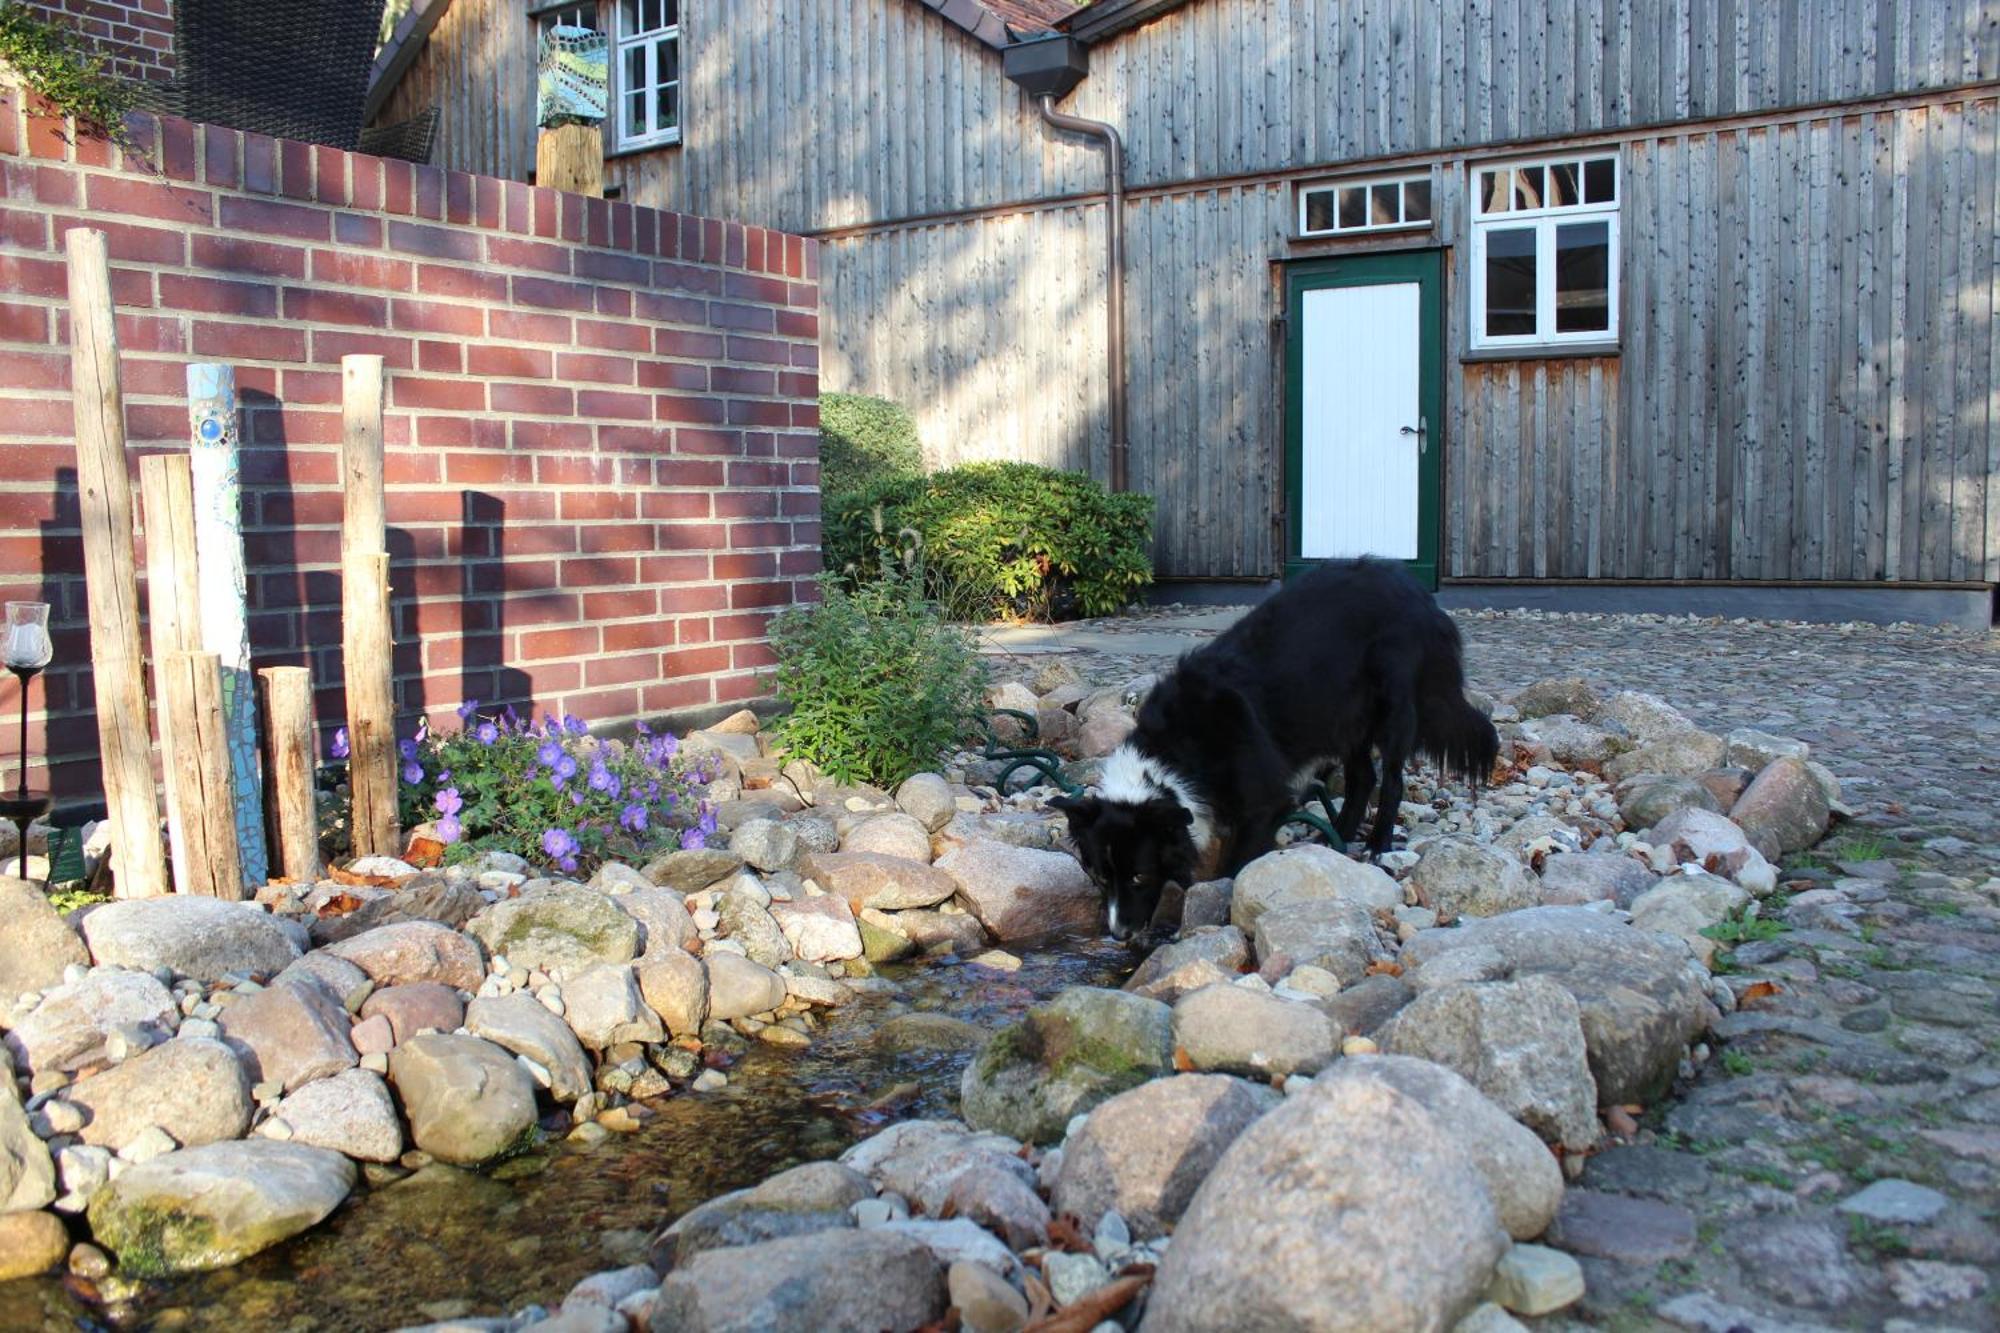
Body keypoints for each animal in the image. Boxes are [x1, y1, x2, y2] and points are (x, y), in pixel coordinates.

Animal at [1056, 556, 1496, 940]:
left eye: (1139, 876)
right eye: (1100, 876)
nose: (1118, 934)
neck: (1176, 748)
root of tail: (1415, 589)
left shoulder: (1264, 803)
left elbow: (1235, 864)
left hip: (1391, 705)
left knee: (1389, 779)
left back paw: (1377, 845)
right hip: (1341, 715)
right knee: (1361, 778)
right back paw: (1334, 839)